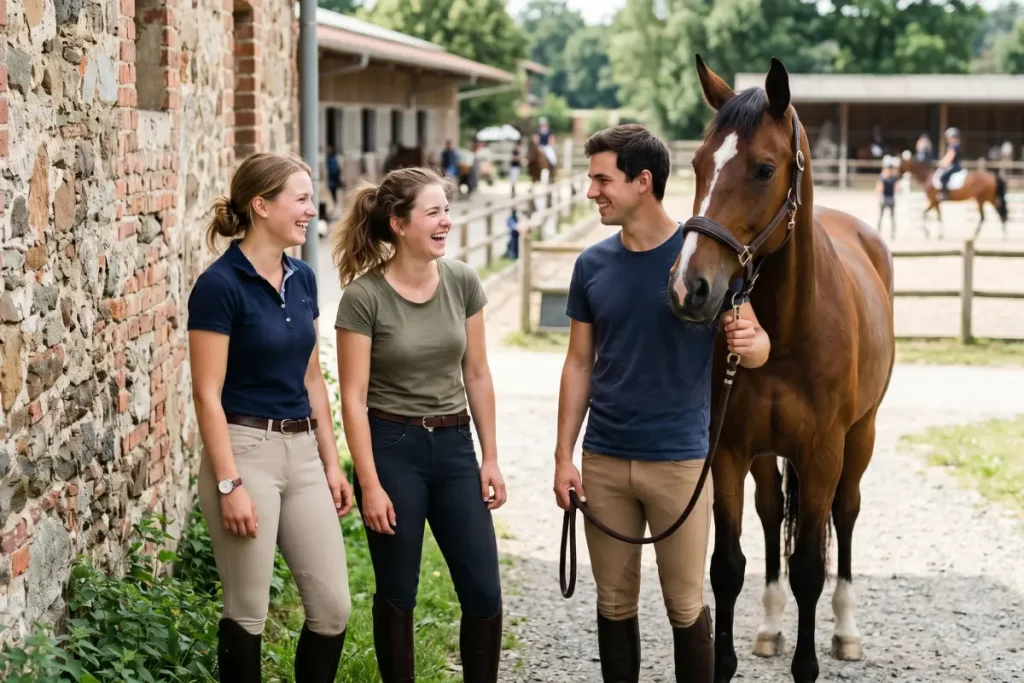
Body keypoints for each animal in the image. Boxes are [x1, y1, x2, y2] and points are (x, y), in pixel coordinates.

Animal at [667, 56, 895, 683]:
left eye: (764, 169)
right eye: (696, 164)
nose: (690, 288)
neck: (789, 330)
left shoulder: (822, 453)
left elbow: (810, 567)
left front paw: (809, 663)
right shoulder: (727, 451)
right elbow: (727, 565)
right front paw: (725, 661)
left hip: (860, 438)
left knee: (846, 514)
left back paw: (846, 631)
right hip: (766, 453)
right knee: (772, 517)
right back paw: (770, 628)